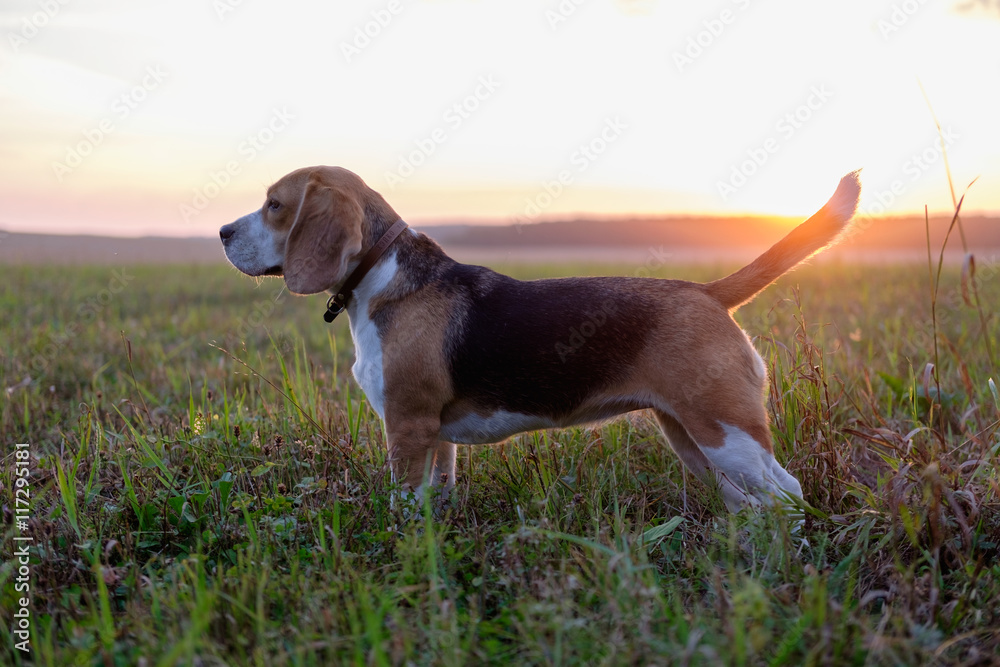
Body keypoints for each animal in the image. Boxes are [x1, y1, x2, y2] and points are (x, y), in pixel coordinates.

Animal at [221, 166, 860, 512]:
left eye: (275, 206)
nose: (223, 231)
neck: (382, 272)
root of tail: (706, 291)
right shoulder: (436, 438)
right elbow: (436, 501)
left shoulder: (407, 427)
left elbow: (403, 505)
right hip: (693, 440)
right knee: (756, 503)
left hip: (726, 434)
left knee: (786, 494)